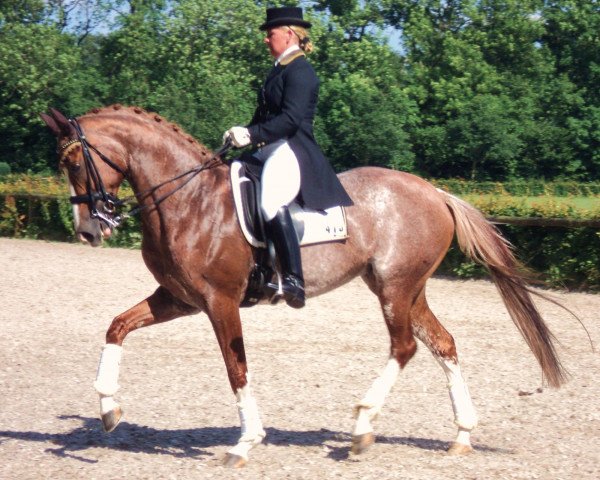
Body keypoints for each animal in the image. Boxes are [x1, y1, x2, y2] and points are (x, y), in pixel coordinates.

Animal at [39, 106, 564, 468]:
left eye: (74, 162)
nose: (89, 230)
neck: (189, 200)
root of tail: (434, 192)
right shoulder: (179, 300)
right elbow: (117, 326)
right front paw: (109, 408)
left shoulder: (219, 302)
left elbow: (236, 369)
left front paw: (245, 442)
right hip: (406, 289)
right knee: (443, 344)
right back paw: (461, 435)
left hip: (394, 288)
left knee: (405, 347)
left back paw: (362, 424)